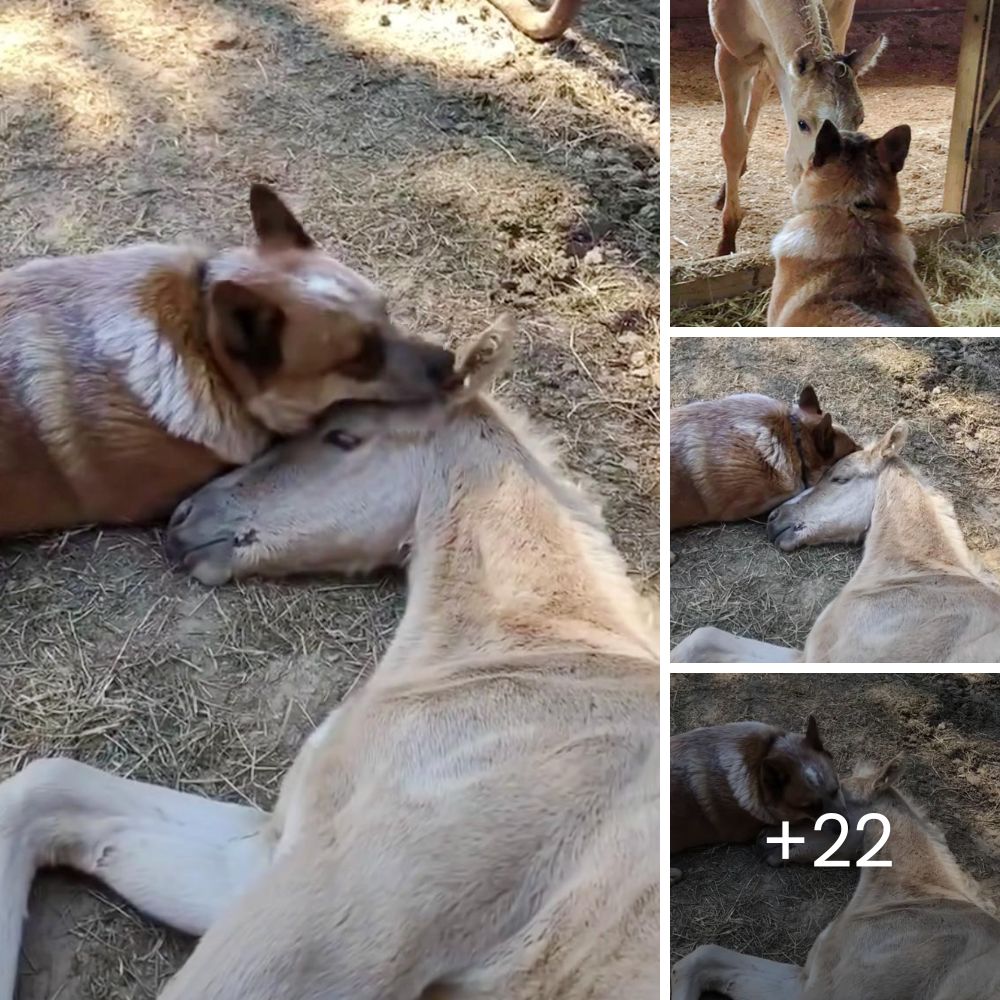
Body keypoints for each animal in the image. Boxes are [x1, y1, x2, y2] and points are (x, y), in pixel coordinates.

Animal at [708, 0, 888, 254]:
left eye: (860, 119)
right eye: (802, 123)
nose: (839, 194)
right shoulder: (730, 53)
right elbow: (733, 142)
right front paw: (725, 243)